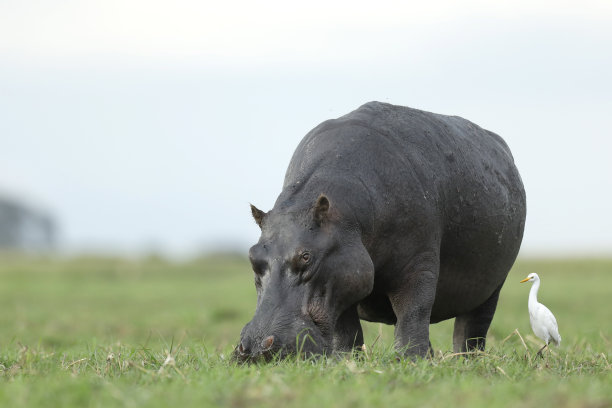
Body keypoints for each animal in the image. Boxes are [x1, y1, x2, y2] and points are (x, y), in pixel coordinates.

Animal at [237, 101, 524, 360]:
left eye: (306, 256)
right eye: (252, 256)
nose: (254, 348)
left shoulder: (418, 263)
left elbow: (414, 310)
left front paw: (411, 361)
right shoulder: (344, 274)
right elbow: (346, 328)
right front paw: (346, 361)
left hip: (493, 285)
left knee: (470, 328)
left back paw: (465, 360)